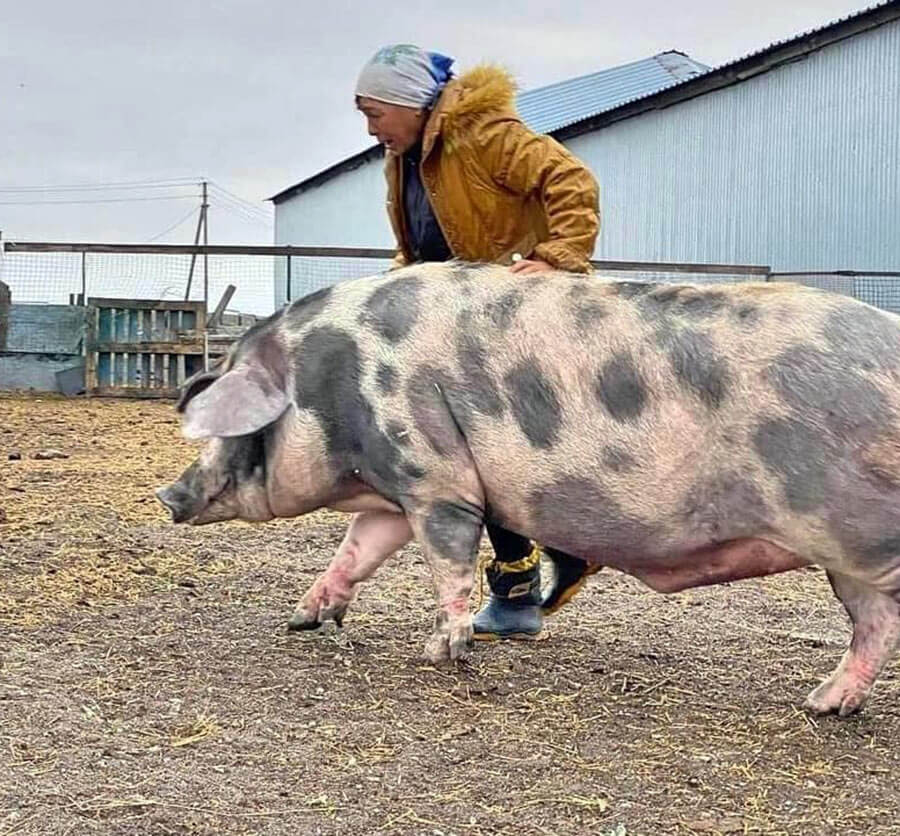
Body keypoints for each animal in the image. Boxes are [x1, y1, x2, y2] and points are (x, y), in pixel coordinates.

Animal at [156, 262, 900, 720]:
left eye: (222, 428)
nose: (169, 495)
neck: (329, 385)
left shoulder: (436, 475)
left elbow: (450, 561)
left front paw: (441, 652)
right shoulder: (398, 490)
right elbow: (356, 550)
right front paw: (304, 619)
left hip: (860, 532)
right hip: (847, 556)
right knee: (873, 621)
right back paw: (823, 705)